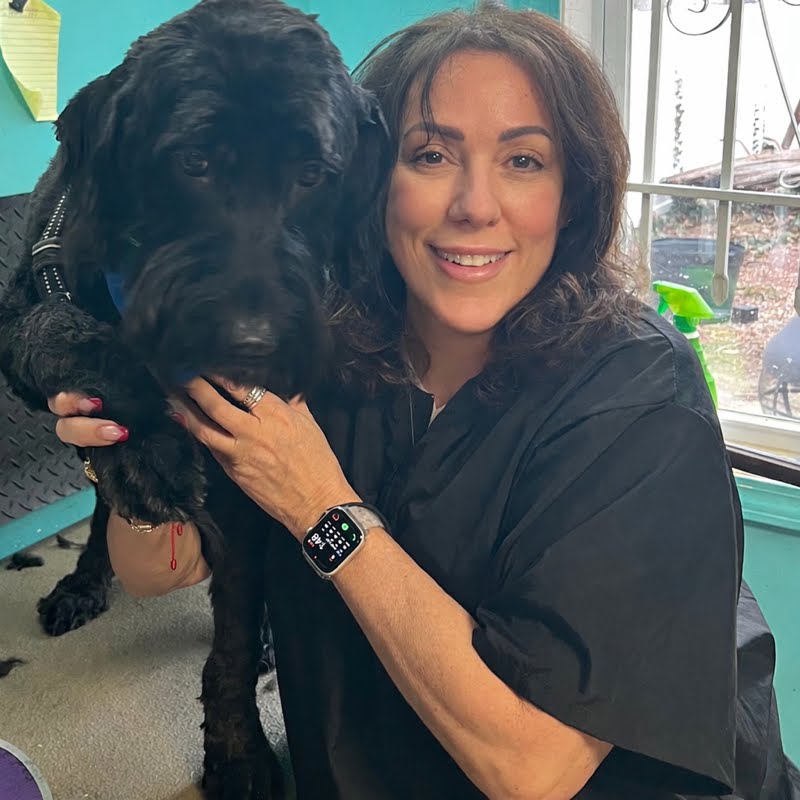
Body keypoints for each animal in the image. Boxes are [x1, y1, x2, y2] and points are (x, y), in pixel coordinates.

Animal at [0, 0, 388, 796]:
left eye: (313, 174)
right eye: (193, 163)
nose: (252, 341)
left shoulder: (244, 485)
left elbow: (233, 635)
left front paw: (237, 751)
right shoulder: (27, 310)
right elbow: (62, 335)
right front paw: (148, 447)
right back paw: (88, 572)